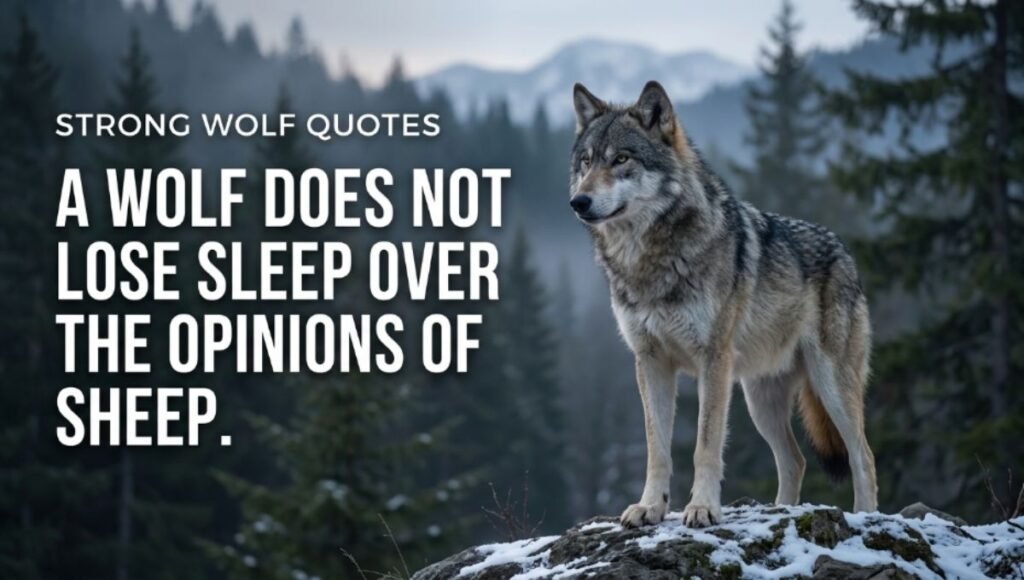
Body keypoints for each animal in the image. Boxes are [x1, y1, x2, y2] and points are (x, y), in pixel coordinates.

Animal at [569, 81, 877, 528]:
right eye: (587, 161)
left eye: (621, 159)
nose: (578, 202)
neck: (649, 259)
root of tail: (844, 250)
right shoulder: (649, 362)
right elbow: (656, 448)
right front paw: (649, 507)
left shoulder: (712, 360)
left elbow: (705, 444)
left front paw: (701, 508)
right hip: (759, 401)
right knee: (796, 460)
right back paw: (782, 510)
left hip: (830, 384)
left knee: (862, 455)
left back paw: (866, 516)